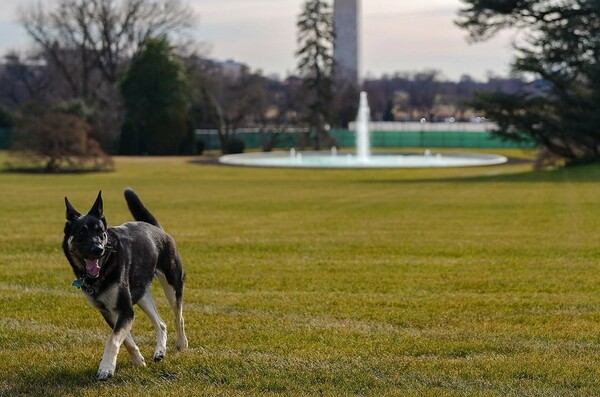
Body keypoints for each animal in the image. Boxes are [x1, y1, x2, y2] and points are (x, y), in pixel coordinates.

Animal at [62, 189, 188, 380]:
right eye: (82, 232)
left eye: (101, 232)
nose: (98, 249)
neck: (105, 266)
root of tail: (157, 228)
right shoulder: (110, 311)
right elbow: (125, 339)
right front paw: (138, 360)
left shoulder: (125, 309)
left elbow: (113, 338)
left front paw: (106, 367)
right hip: (141, 295)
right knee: (161, 323)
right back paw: (159, 351)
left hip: (172, 284)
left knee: (178, 316)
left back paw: (181, 343)